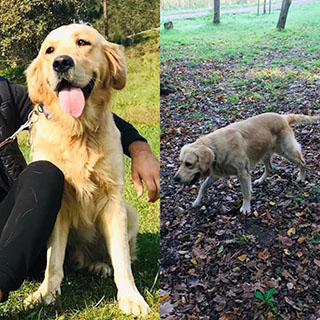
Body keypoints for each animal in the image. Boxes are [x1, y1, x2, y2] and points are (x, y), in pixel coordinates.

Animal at [24, 23, 149, 316]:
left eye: (82, 42)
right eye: (49, 50)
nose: (61, 63)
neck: (78, 131)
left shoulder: (113, 201)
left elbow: (122, 260)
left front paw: (131, 298)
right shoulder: (58, 206)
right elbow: (53, 261)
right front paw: (45, 293)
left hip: (130, 213)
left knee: (115, 255)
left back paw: (100, 265)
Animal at [175, 114, 320, 214]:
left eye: (189, 164)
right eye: (180, 163)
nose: (175, 178)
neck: (215, 147)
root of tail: (283, 117)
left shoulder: (242, 173)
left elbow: (245, 192)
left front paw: (246, 207)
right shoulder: (217, 172)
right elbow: (203, 187)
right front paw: (197, 201)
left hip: (287, 151)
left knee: (302, 162)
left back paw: (301, 177)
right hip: (265, 152)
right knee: (270, 168)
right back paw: (260, 180)